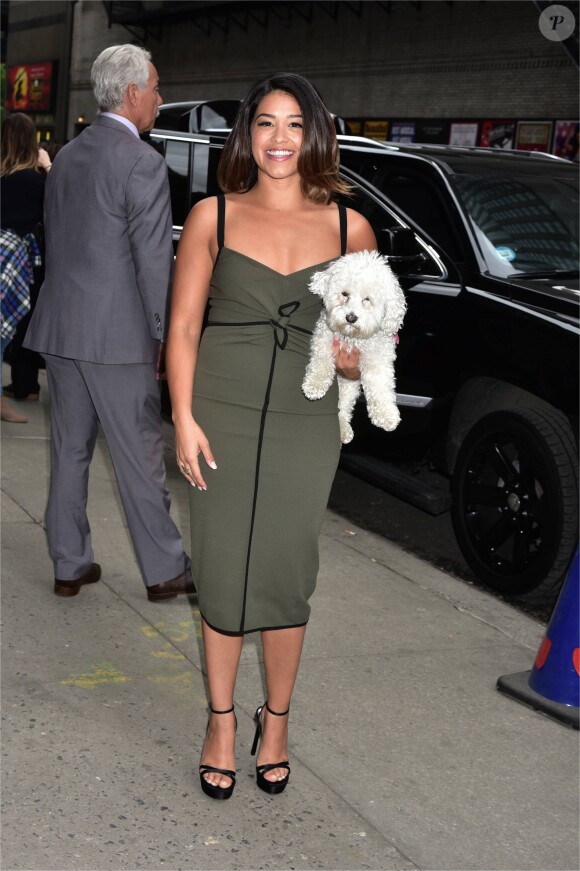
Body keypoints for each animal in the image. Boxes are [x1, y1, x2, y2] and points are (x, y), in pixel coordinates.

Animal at [304, 250, 408, 442]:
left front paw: (386, 415)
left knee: (343, 407)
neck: (352, 338)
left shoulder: (379, 359)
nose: (351, 317)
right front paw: (314, 384)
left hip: (348, 386)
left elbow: (380, 385)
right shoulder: (323, 339)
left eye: (367, 299)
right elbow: (321, 361)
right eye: (344, 294)